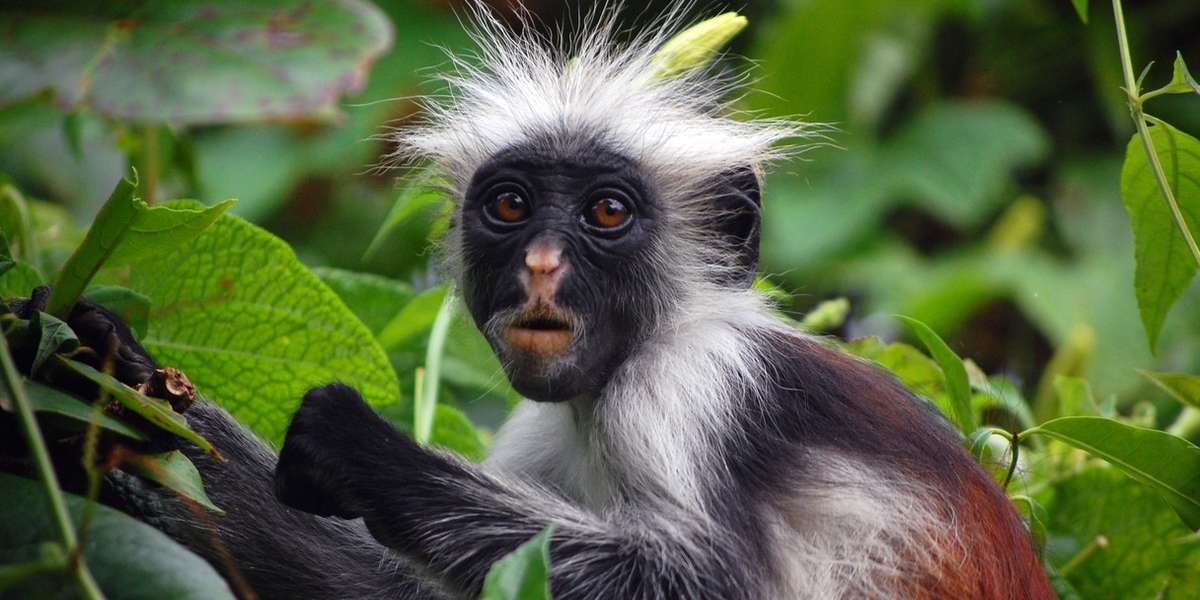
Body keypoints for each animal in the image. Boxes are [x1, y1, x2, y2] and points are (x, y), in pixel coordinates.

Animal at [19, 6, 1055, 600]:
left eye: (607, 213)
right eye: (512, 207)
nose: (545, 267)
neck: (632, 359)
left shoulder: (696, 386)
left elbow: (715, 584)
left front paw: (361, 451)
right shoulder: (548, 424)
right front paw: (95, 387)